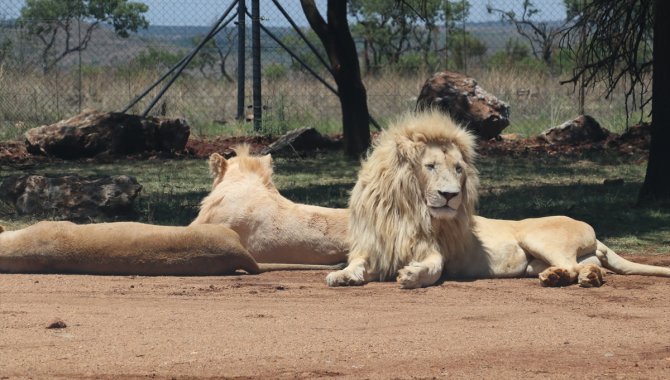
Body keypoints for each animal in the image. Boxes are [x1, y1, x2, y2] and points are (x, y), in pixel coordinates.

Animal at [328, 111, 670, 290]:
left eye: (459, 169)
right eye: (431, 166)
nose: (451, 196)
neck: (409, 211)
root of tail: (592, 231)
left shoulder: (436, 252)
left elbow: (432, 268)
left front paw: (410, 275)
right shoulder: (375, 249)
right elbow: (356, 265)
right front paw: (340, 276)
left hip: (538, 238)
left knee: (573, 266)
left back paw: (571, 278)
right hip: (536, 262)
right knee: (580, 268)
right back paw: (571, 277)